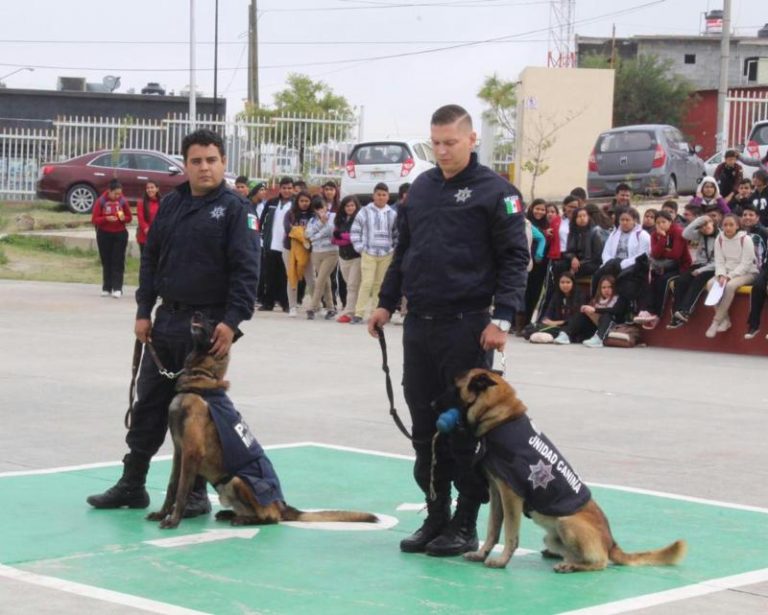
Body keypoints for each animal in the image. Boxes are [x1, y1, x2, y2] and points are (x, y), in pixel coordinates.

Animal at [147, 316, 378, 532]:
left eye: (213, 321)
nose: (196, 313)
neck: (202, 376)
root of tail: (283, 506)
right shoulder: (180, 451)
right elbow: (172, 487)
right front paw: (162, 514)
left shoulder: (191, 452)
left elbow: (182, 490)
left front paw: (173, 520)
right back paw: (231, 514)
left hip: (238, 480)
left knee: (270, 518)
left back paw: (244, 519)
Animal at [440, 366, 688, 572]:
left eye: (453, 386)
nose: (434, 404)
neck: (503, 417)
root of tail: (611, 542)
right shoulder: (496, 492)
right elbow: (493, 528)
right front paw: (482, 553)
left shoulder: (511, 496)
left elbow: (511, 534)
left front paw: (502, 561)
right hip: (553, 536)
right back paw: (564, 559)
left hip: (566, 522)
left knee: (600, 563)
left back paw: (573, 566)